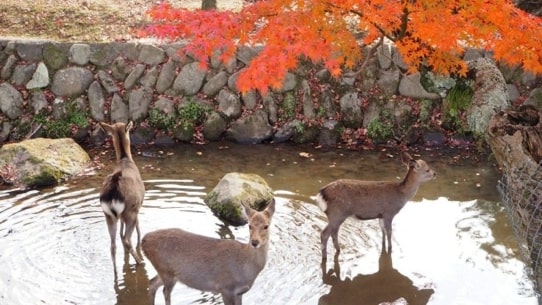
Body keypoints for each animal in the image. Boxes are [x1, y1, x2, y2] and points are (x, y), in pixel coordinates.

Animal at [98, 120, 144, 264]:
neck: (125, 159)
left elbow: (120, 232)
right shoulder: (139, 205)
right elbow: (138, 228)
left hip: (108, 215)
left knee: (113, 244)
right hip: (130, 211)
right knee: (127, 239)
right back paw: (140, 261)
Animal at [142, 197, 276, 304]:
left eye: (266, 226)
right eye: (249, 225)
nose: (254, 242)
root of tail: (144, 241)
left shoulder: (239, 293)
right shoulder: (225, 288)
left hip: (166, 271)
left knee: (152, 283)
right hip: (166, 271)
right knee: (165, 291)